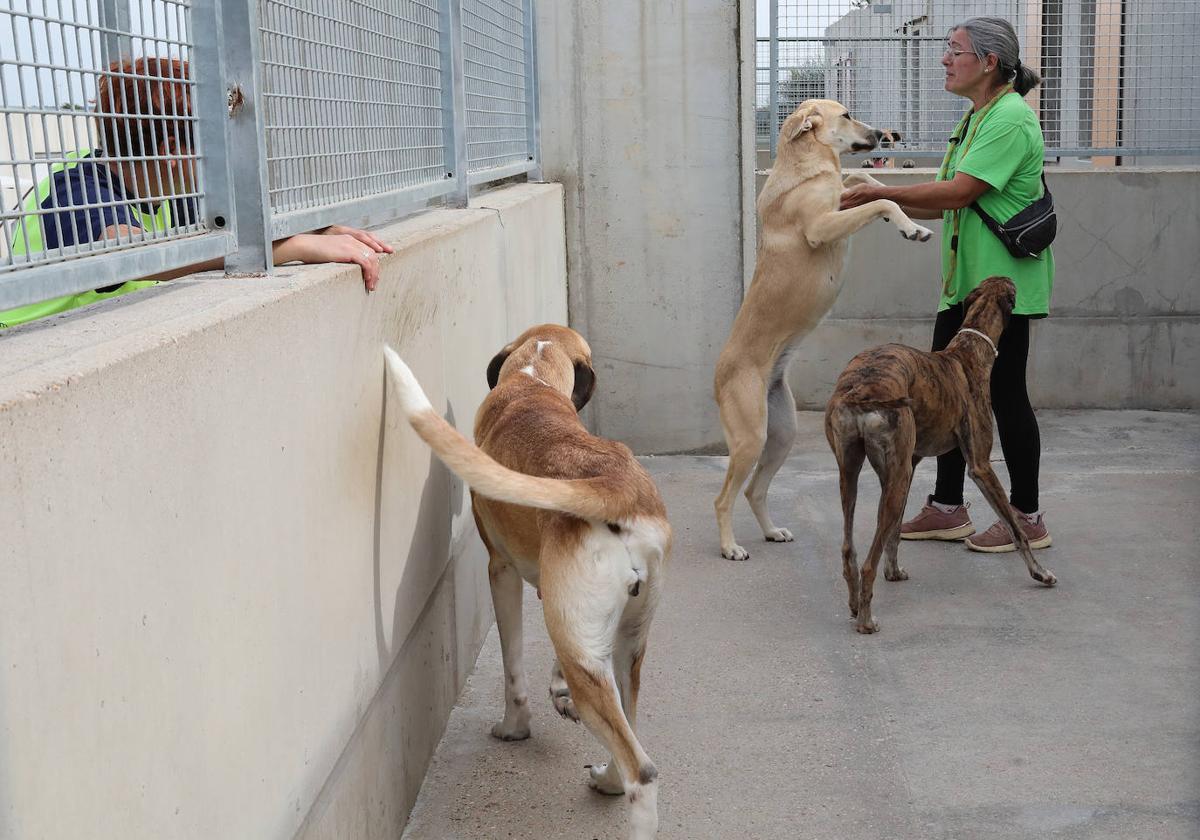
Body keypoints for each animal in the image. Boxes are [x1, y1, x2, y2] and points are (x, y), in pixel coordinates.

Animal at [381, 324, 667, 835]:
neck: (533, 378)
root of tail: (615, 488)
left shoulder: (502, 571)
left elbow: (513, 666)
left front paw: (514, 728)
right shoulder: (562, 609)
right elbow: (553, 660)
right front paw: (555, 691)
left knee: (643, 770)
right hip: (626, 647)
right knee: (628, 728)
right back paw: (606, 780)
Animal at [710, 100, 936, 556]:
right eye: (846, 115)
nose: (884, 135)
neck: (806, 166)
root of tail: (718, 377)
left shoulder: (840, 198)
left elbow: (864, 181)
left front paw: (905, 216)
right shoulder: (821, 225)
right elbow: (880, 203)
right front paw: (908, 225)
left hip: (782, 434)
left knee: (755, 490)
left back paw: (771, 530)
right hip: (749, 438)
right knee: (724, 498)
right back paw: (730, 546)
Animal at [820, 278, 1056, 633]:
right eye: (1011, 287)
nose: (1014, 279)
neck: (968, 353)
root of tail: (860, 390)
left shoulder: (911, 462)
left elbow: (895, 532)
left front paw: (894, 571)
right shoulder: (981, 466)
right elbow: (1015, 528)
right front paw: (1039, 572)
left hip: (856, 474)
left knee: (850, 549)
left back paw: (854, 603)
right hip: (894, 476)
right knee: (866, 564)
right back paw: (866, 620)